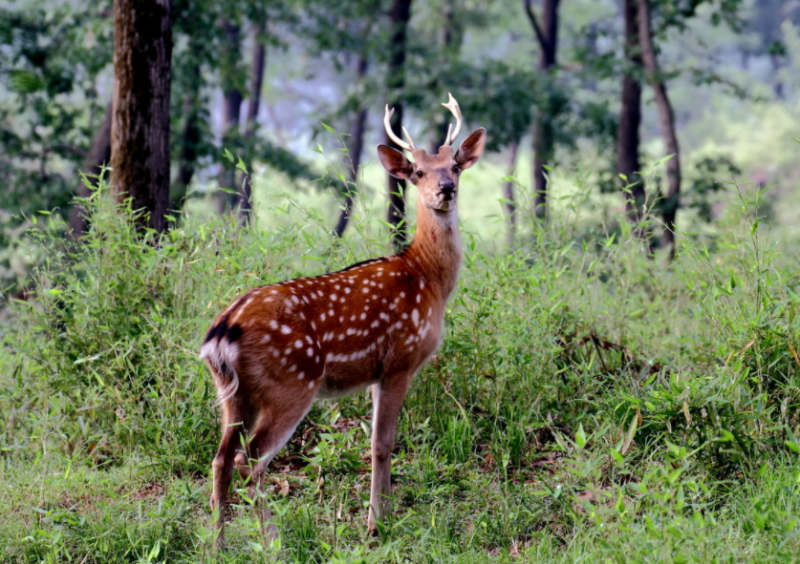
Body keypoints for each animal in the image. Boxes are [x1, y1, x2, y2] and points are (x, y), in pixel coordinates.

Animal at [200, 93, 486, 548]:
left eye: (455, 165)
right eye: (418, 171)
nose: (446, 189)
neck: (426, 278)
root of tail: (221, 333)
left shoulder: (375, 373)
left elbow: (375, 440)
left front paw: (382, 517)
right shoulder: (400, 360)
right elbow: (383, 443)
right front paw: (377, 524)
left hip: (232, 393)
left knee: (220, 458)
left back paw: (218, 543)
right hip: (291, 384)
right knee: (250, 459)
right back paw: (274, 541)